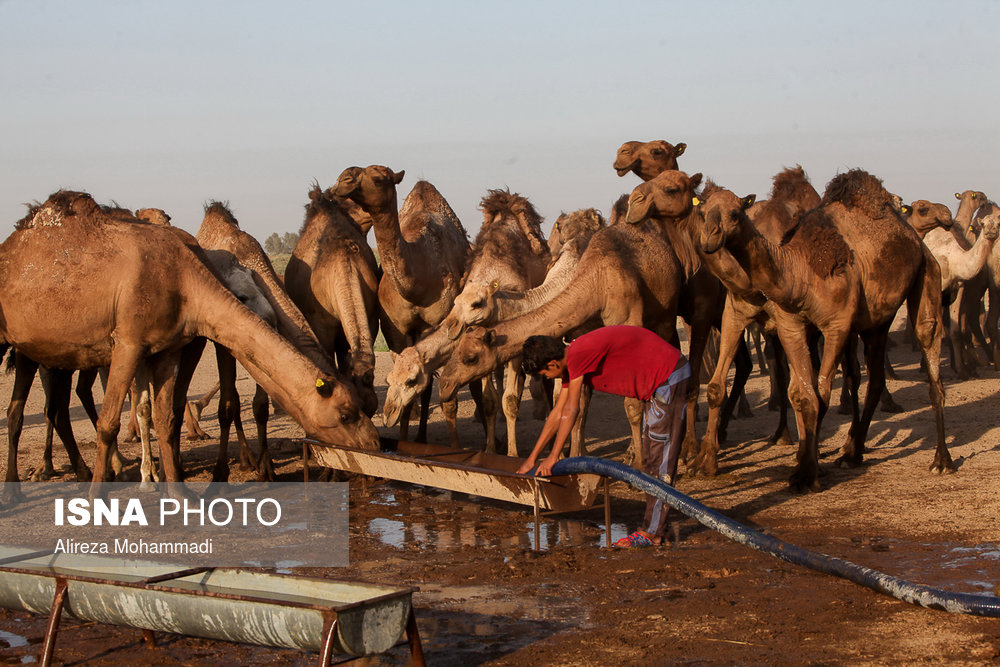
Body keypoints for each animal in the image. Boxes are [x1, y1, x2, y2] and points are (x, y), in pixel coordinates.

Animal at [692, 167, 948, 490]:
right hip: (876, 321)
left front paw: (807, 472)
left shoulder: (835, 326)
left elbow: (821, 393)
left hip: (927, 274)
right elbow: (800, 393)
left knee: (928, 349)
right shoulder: (784, 323)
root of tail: (914, 239)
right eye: (702, 212)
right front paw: (704, 463)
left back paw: (941, 460)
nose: (709, 239)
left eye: (736, 213)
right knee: (873, 378)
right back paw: (852, 453)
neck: (798, 271)